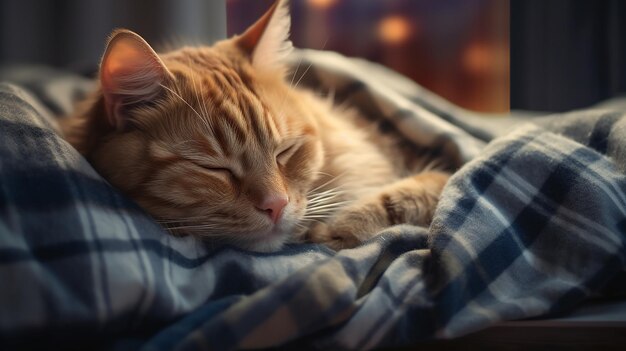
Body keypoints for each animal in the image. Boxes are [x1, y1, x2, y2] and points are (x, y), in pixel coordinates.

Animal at [61, 0, 448, 253]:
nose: (276, 206)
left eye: (286, 151)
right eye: (212, 168)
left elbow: (404, 195)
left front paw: (339, 227)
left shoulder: (434, 171)